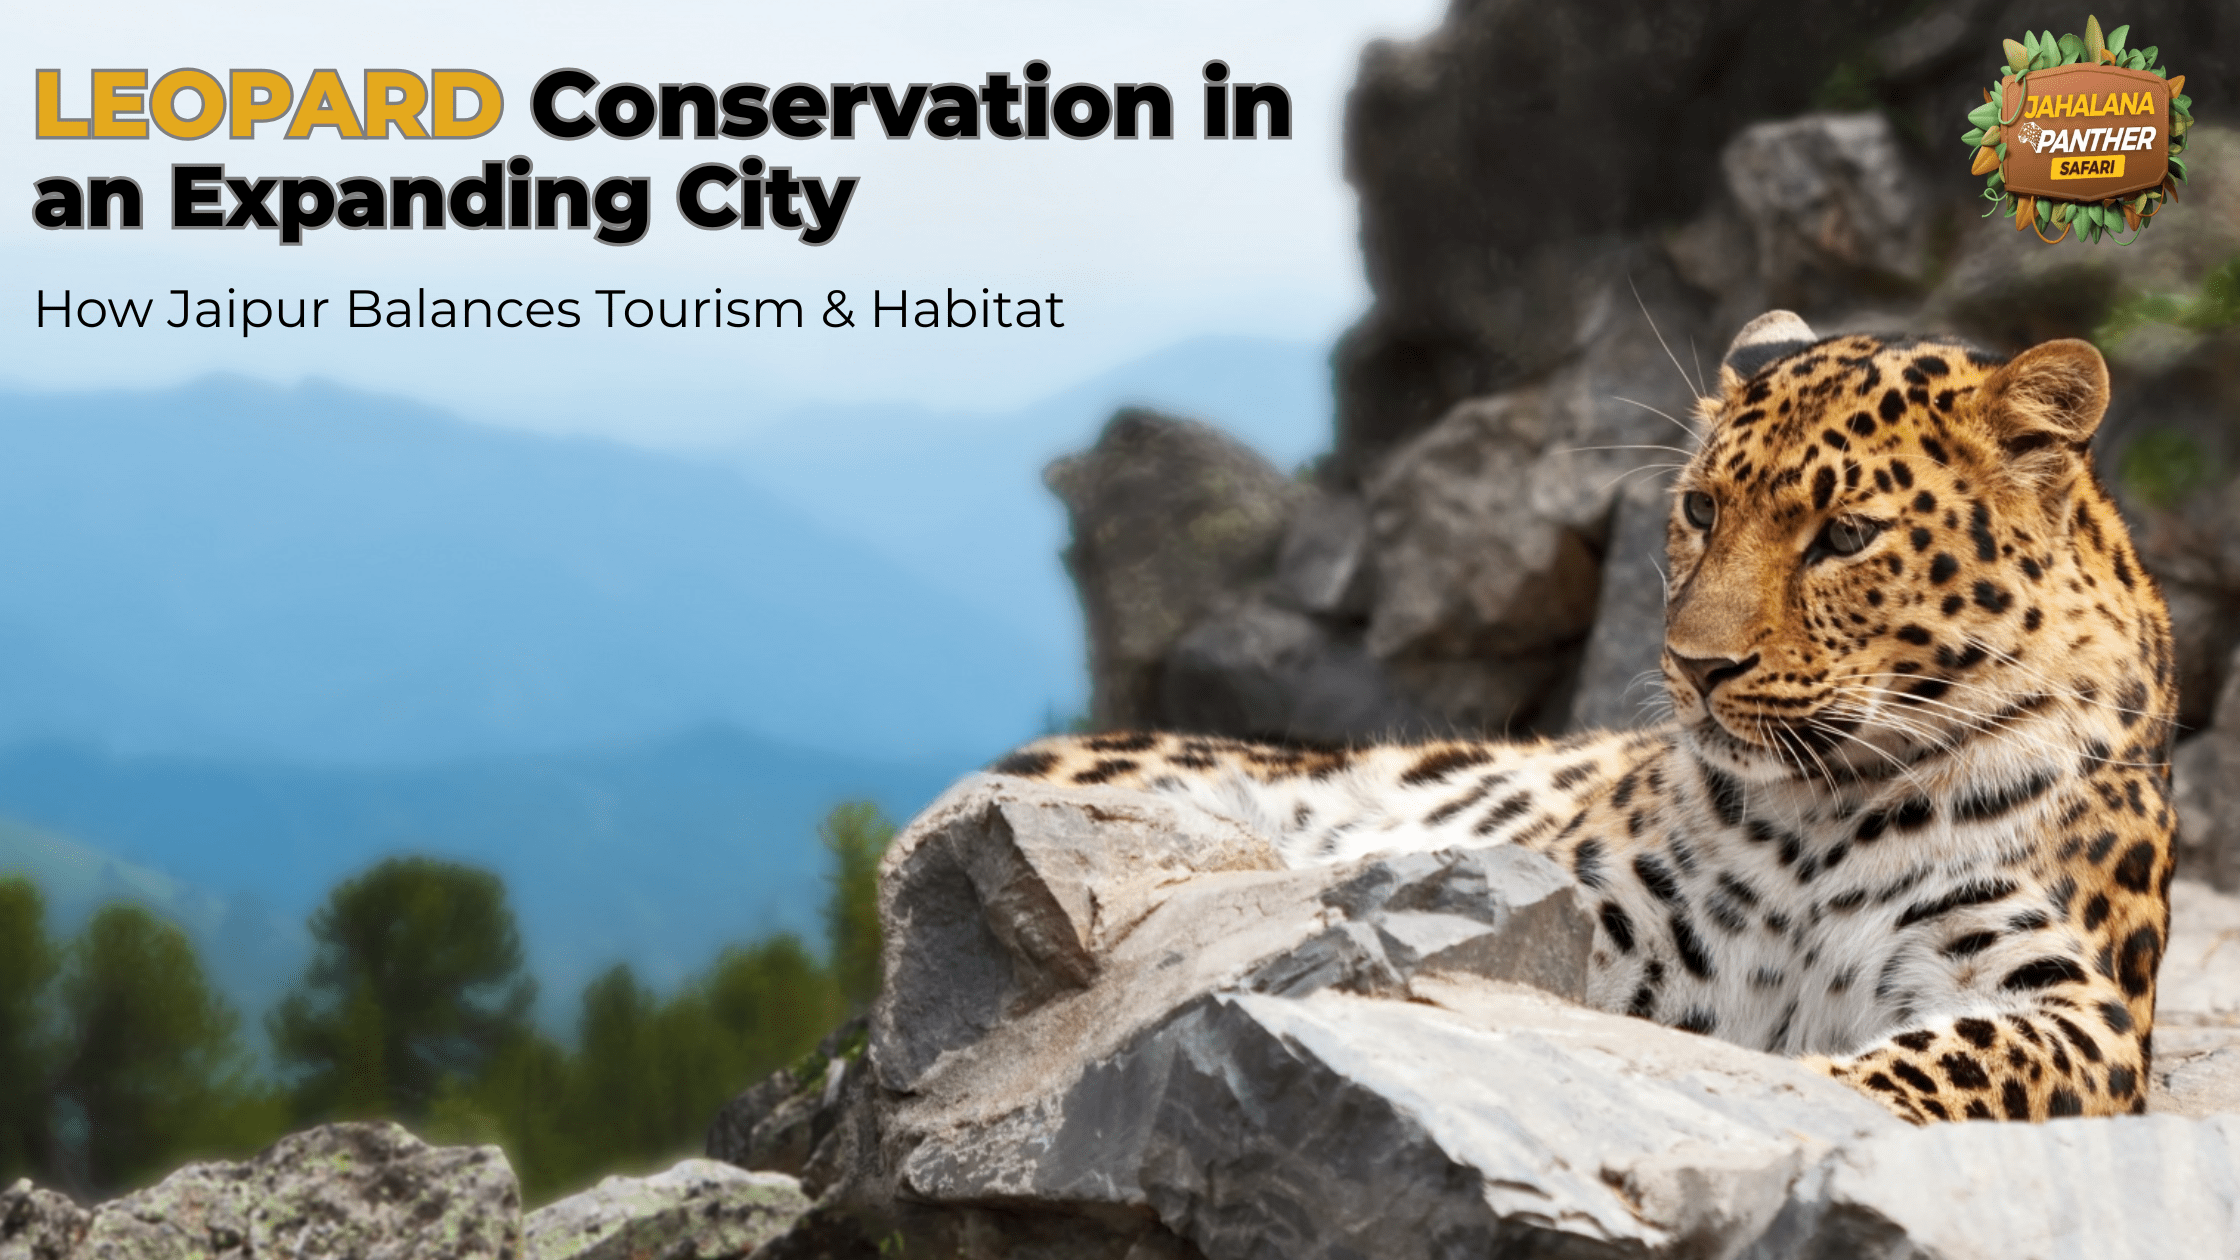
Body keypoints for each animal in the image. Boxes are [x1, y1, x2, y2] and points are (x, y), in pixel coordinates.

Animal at [985, 310, 2180, 1125]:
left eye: (1845, 535)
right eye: (1700, 508)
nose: (1698, 667)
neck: (1825, 810)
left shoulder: (2074, 1002)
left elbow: (1953, 1059)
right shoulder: (1598, 920)